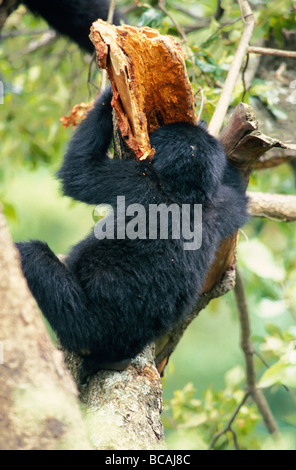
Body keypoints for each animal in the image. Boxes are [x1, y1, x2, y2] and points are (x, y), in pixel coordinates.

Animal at [15, 86, 247, 376]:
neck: (184, 194)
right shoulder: (221, 203)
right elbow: (241, 199)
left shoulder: (136, 179)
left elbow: (79, 174)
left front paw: (108, 95)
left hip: (83, 323)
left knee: (32, 254)